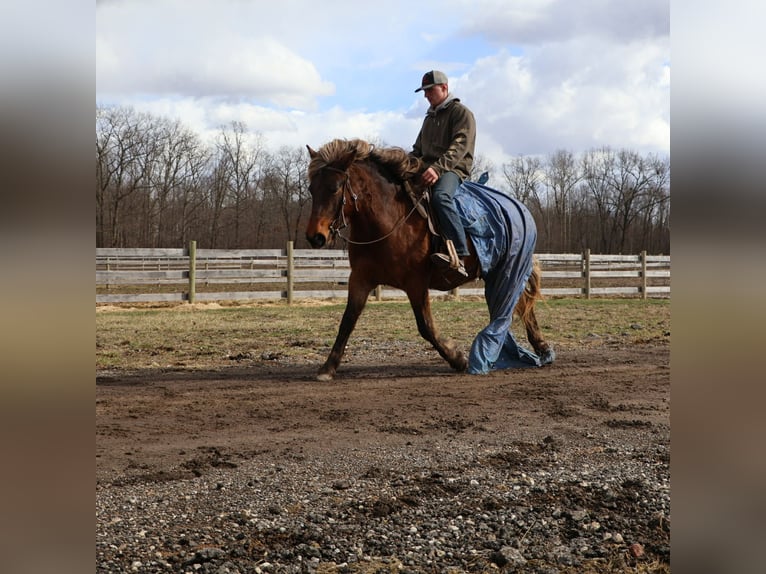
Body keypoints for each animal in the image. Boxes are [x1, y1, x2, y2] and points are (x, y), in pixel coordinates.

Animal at [305, 138, 552, 381]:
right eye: (311, 189)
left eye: (335, 188)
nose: (315, 236)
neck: (389, 220)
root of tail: (517, 206)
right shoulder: (360, 279)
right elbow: (348, 320)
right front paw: (328, 367)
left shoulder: (416, 283)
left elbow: (425, 326)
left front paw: (457, 358)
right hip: (500, 273)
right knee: (521, 304)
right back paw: (540, 349)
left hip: (509, 269)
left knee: (518, 303)